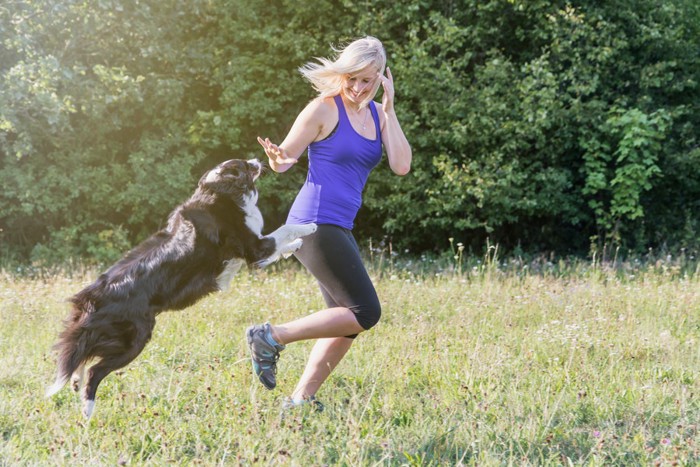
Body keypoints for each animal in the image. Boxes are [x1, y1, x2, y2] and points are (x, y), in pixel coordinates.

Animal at [45, 159, 314, 418]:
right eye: (243, 166)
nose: (258, 160)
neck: (220, 193)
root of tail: (91, 298)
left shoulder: (256, 257)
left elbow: (280, 244)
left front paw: (294, 246)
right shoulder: (254, 248)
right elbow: (284, 229)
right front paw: (308, 229)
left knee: (81, 355)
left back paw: (76, 382)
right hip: (134, 340)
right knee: (95, 370)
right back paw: (87, 411)